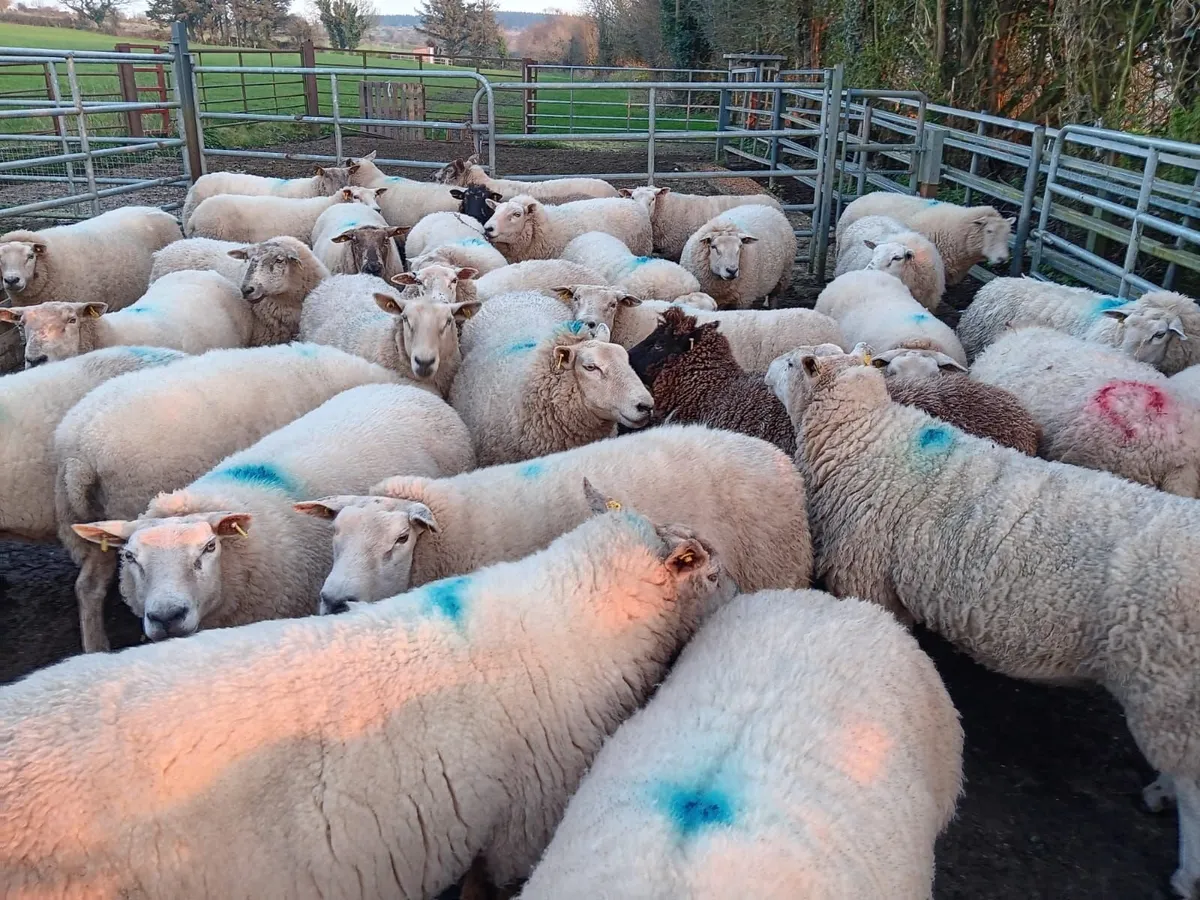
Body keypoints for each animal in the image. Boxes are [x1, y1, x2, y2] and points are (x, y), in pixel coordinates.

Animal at [619, 185, 784, 261]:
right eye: (632, 197)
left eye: (652, 199)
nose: (640, 211)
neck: (666, 210)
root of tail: (773, 201)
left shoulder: (675, 250)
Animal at [767, 346, 1200, 899]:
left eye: (792, 364)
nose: (766, 369)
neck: (862, 439)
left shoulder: (865, 577)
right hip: (1175, 696)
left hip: (1164, 684)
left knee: (1191, 789)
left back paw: (1184, 868)